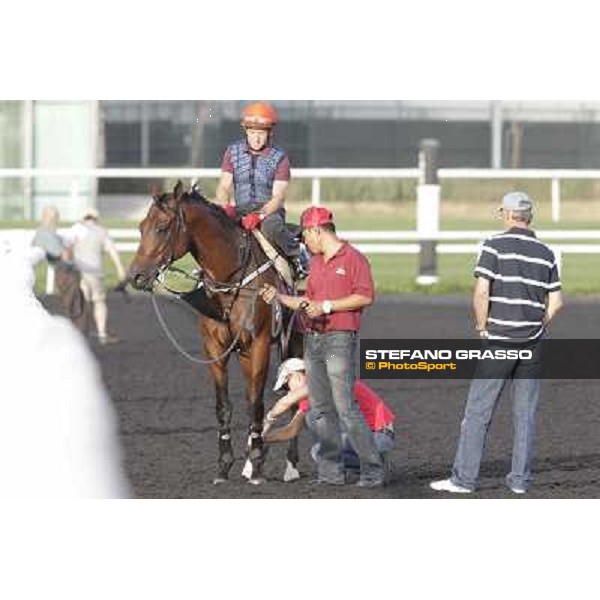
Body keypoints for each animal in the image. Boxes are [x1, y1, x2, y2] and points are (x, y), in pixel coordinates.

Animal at [128, 180, 302, 486]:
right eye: (140, 227)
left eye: (162, 227)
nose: (136, 276)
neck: (232, 281)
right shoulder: (216, 350)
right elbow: (225, 406)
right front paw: (226, 465)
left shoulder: (259, 345)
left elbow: (256, 404)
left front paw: (257, 464)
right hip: (245, 355)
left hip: (293, 340)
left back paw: (290, 465)